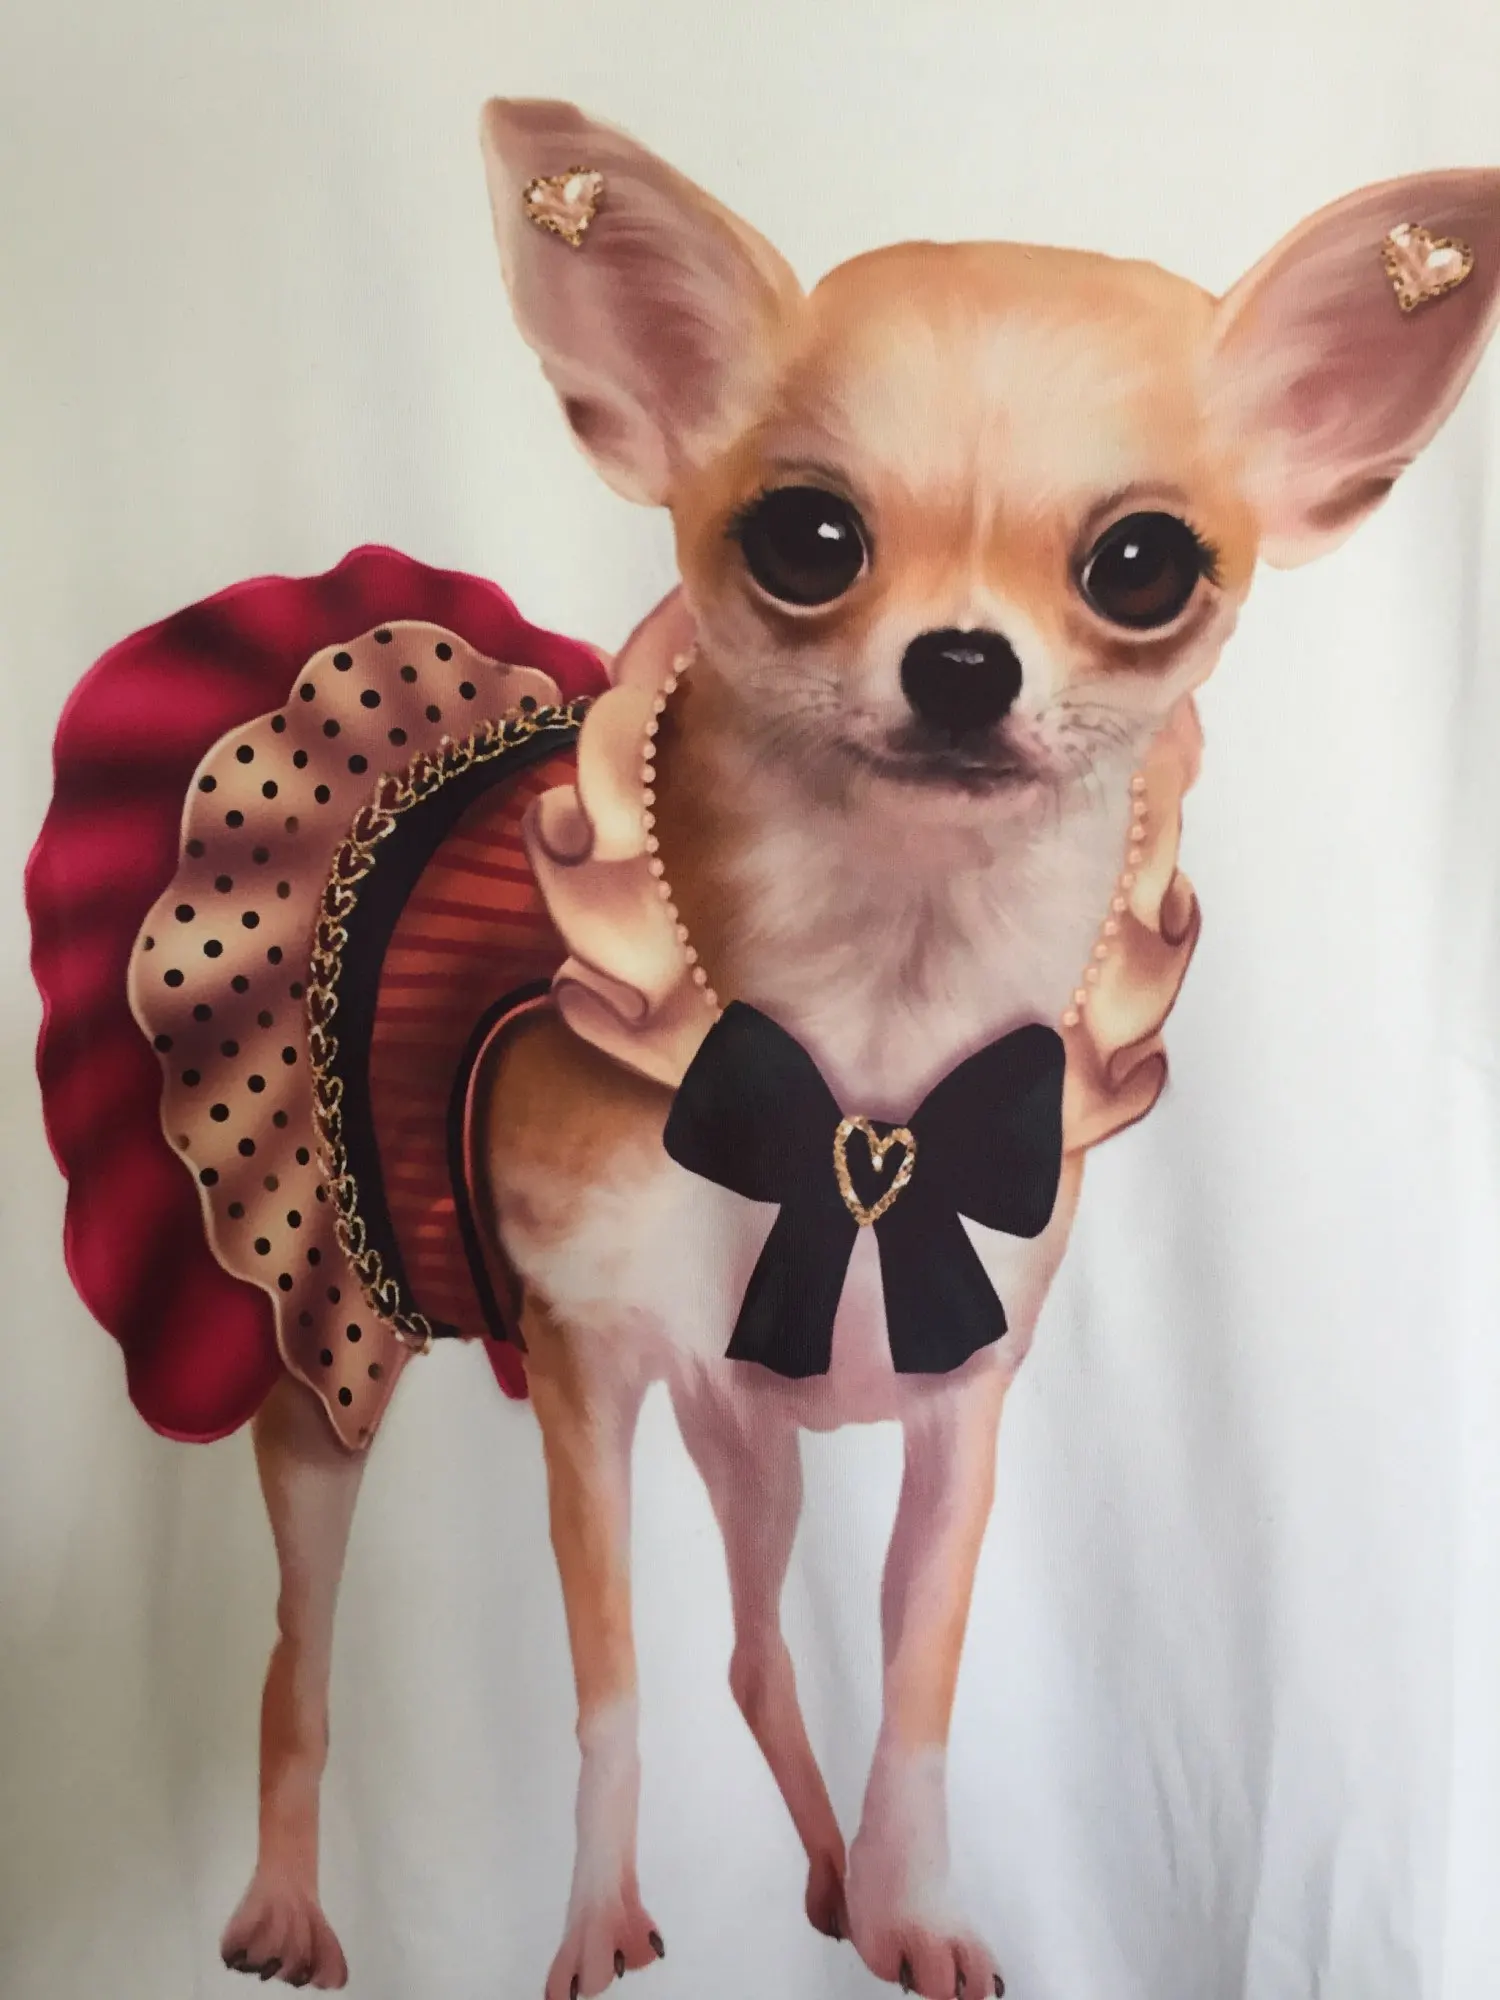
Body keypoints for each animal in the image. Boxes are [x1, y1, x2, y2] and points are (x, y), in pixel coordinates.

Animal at [27, 95, 1500, 2000]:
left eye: (1143, 567)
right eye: (808, 541)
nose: (964, 660)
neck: (868, 1041)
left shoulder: (954, 1419)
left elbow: (916, 1697)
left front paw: (915, 1908)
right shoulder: (584, 1380)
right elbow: (607, 1691)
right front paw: (596, 1923)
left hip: (746, 1427)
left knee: (755, 1649)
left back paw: (827, 1885)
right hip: (325, 1367)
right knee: (298, 1661)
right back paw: (286, 1911)